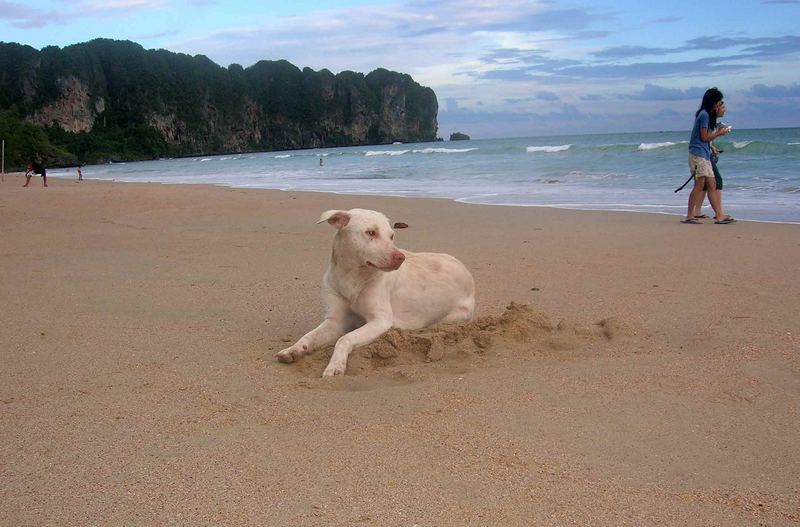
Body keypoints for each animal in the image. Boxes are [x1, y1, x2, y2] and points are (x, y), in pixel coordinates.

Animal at [278, 208, 476, 378]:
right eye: (371, 232)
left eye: (391, 236)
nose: (400, 258)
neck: (352, 277)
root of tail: (467, 272)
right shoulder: (334, 320)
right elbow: (309, 336)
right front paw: (293, 349)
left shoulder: (380, 320)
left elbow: (344, 339)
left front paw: (335, 365)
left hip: (453, 316)